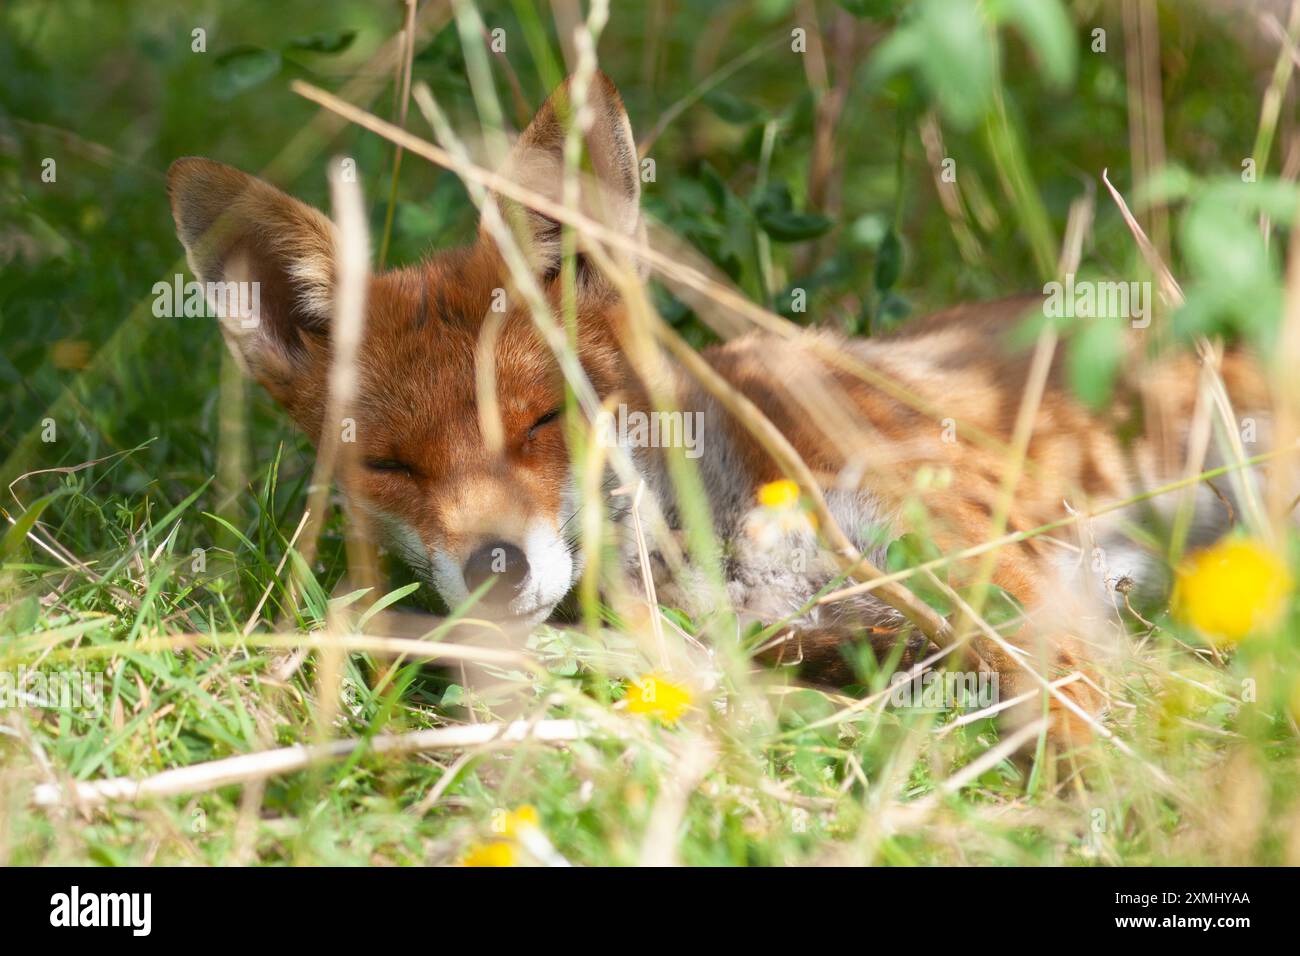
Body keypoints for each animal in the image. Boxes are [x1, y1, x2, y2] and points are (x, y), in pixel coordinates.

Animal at [165, 72, 1268, 749]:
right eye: (388, 465)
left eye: (540, 422)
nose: (494, 565)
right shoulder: (810, 634)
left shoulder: (981, 555)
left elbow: (1074, 705)